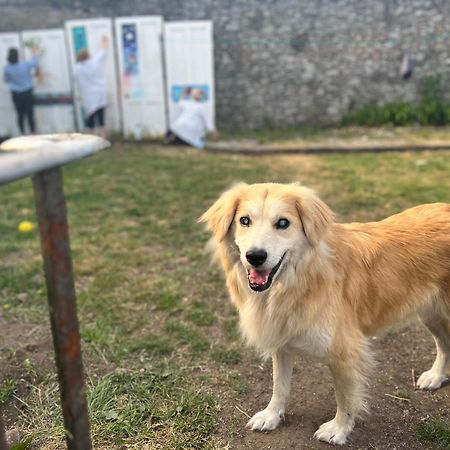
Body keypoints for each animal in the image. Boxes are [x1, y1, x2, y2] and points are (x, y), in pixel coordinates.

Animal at [200, 182, 450, 442]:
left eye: (283, 223)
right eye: (244, 220)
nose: (255, 256)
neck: (302, 279)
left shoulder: (345, 352)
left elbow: (345, 397)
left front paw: (338, 430)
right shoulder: (282, 340)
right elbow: (279, 385)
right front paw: (271, 415)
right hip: (431, 313)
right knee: (444, 344)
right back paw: (436, 376)